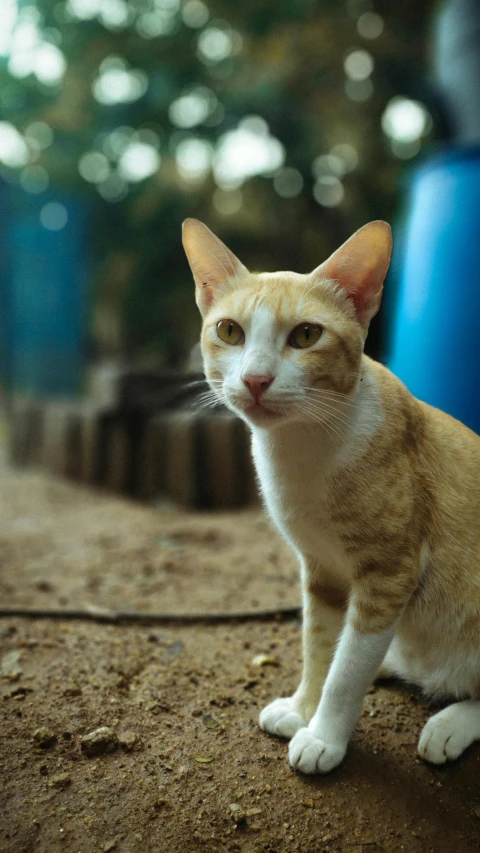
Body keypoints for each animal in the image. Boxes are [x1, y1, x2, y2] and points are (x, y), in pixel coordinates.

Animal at [181, 216, 480, 776]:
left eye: (306, 335)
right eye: (229, 331)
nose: (256, 379)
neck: (301, 448)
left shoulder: (390, 574)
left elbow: (345, 673)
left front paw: (324, 736)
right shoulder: (321, 571)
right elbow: (320, 649)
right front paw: (305, 708)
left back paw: (449, 723)